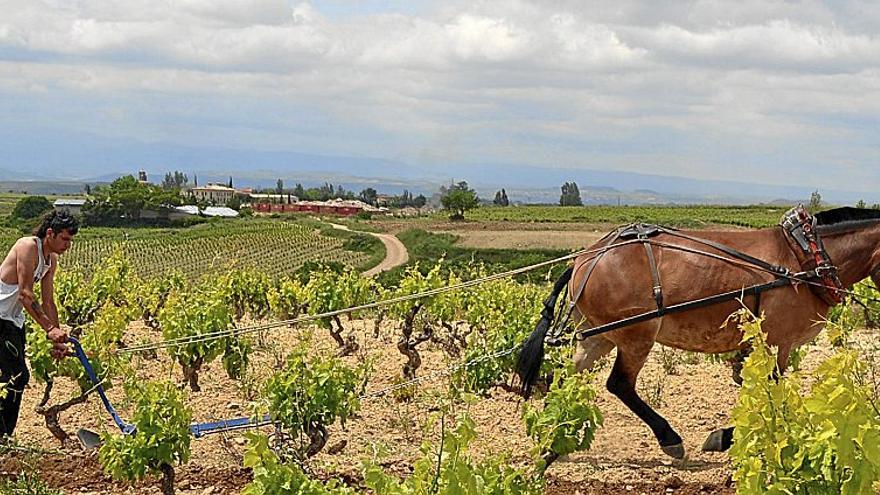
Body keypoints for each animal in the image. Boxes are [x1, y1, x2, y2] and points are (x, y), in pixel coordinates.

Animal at [516, 206, 880, 462]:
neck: (804, 258)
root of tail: (585, 258)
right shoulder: (778, 342)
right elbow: (770, 390)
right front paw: (725, 437)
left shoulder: (761, 344)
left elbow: (752, 385)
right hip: (635, 336)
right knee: (619, 384)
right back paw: (669, 439)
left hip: (598, 336)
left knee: (563, 379)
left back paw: (554, 442)